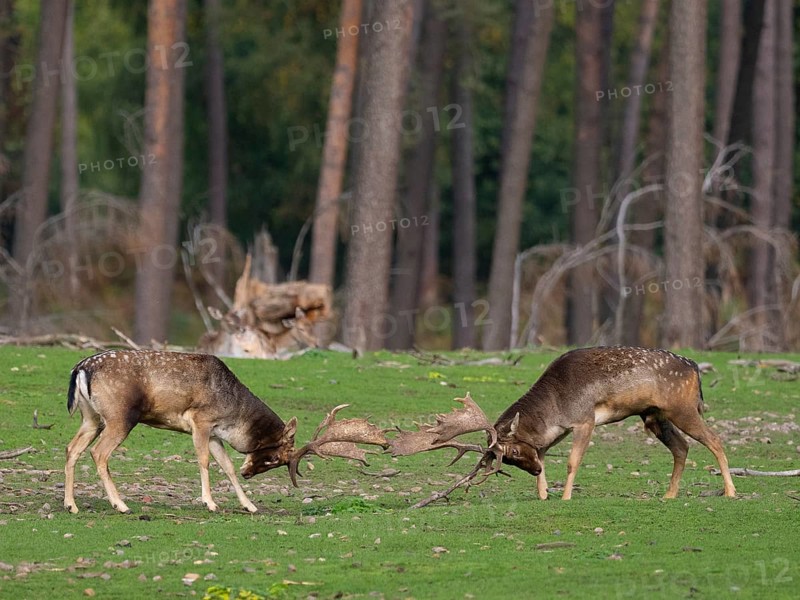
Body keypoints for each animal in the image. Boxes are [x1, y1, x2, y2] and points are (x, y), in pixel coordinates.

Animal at [64, 350, 387, 514]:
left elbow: (227, 466)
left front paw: (250, 506)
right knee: (98, 453)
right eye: (274, 459)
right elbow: (204, 461)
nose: (250, 473)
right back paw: (121, 505)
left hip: (91, 417)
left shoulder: (216, 434)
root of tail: (80, 369)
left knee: (72, 449)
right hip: (120, 416)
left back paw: (71, 505)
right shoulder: (200, 421)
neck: (234, 415)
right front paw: (210, 503)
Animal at [390, 346, 737, 505]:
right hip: (655, 415)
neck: (555, 405)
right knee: (682, 446)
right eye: (510, 461)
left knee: (715, 439)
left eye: (513, 452)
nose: (535, 471)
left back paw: (730, 491)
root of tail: (695, 369)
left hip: (682, 408)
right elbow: (546, 452)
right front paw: (543, 494)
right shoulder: (557, 432)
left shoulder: (584, 419)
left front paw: (565, 496)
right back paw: (669, 494)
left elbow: (572, 461)